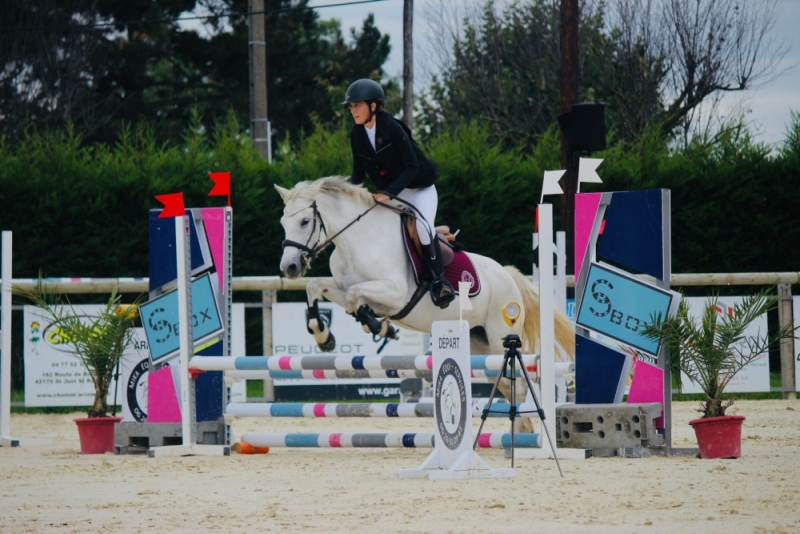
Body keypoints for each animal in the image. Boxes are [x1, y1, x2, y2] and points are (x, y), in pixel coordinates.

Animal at [276, 178, 576, 430]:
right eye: (283, 223)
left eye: (305, 221)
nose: (289, 267)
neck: (357, 242)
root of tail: (508, 274)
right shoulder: (343, 287)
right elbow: (317, 287)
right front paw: (325, 336)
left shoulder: (395, 293)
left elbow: (353, 295)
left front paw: (376, 326)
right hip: (480, 344)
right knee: (504, 382)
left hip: (499, 336)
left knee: (521, 383)